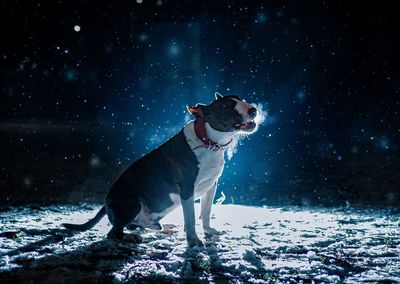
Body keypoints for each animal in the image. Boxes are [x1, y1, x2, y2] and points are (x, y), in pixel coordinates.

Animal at [63, 92, 260, 246]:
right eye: (226, 106)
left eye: (240, 99)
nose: (253, 110)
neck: (207, 141)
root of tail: (106, 203)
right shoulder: (187, 189)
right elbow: (190, 217)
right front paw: (193, 240)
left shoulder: (211, 186)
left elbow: (205, 212)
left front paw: (208, 230)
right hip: (132, 201)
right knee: (114, 233)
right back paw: (133, 237)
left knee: (137, 224)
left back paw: (161, 227)